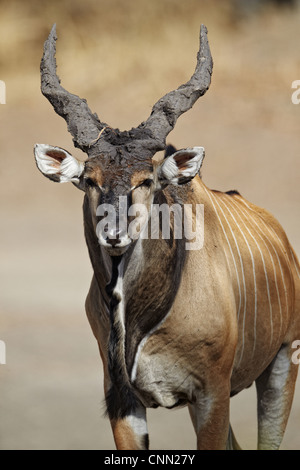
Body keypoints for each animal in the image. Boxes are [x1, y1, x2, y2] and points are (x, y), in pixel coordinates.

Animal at [34, 23, 298, 450]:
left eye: (146, 180)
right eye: (89, 179)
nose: (113, 234)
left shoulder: (212, 395)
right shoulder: (123, 401)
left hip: (282, 364)